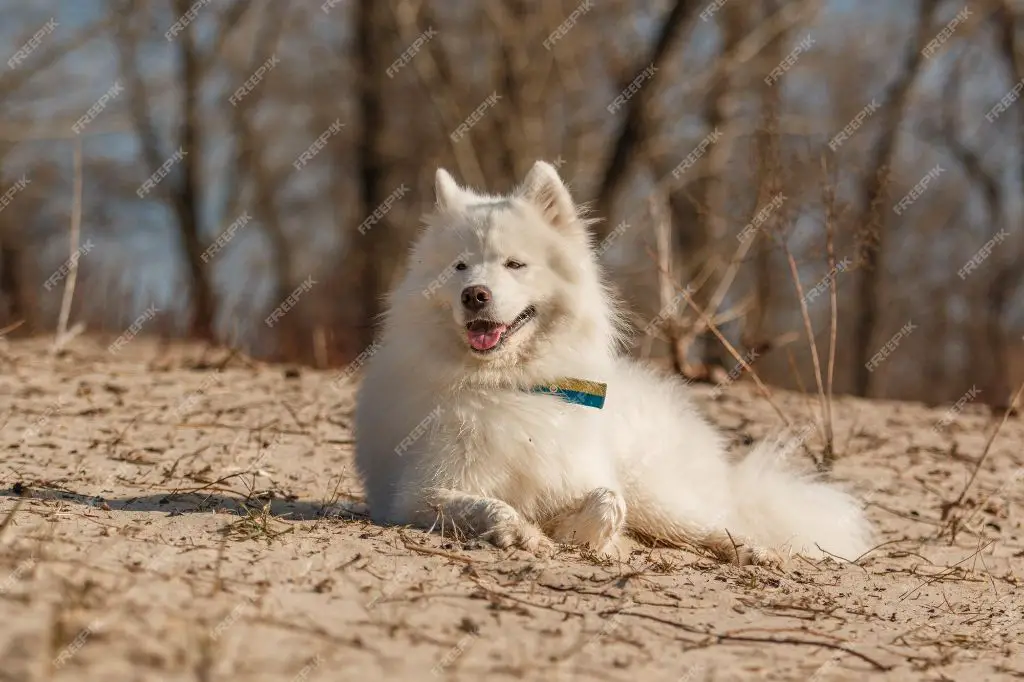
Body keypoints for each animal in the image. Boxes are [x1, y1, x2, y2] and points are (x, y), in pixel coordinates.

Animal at [354, 159, 872, 561]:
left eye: (515, 265)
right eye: (459, 266)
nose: (474, 295)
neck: (513, 383)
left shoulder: (587, 479)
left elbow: (607, 499)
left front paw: (579, 535)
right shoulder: (416, 494)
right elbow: (492, 506)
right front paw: (530, 533)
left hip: (657, 493)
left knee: (709, 522)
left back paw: (750, 549)